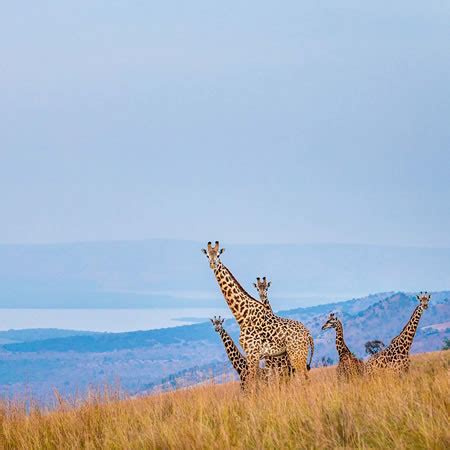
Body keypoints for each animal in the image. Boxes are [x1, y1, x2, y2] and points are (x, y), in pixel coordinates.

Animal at [202, 241, 314, 388]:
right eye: (207, 255)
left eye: (218, 255)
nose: (212, 263)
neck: (242, 315)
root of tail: (308, 334)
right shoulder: (255, 356)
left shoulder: (253, 353)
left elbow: (252, 384)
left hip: (297, 354)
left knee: (304, 379)